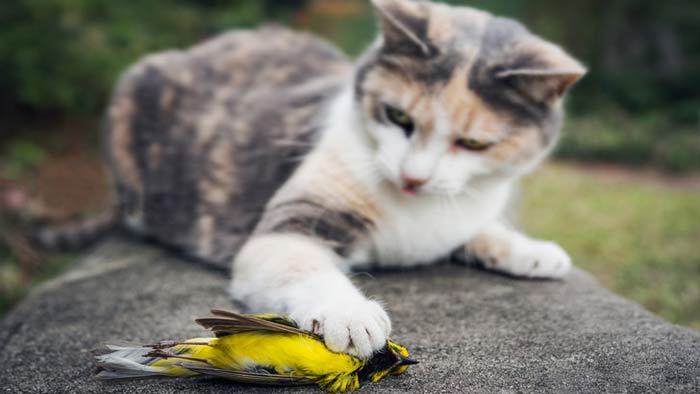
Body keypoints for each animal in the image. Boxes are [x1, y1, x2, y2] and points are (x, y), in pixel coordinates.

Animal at [38, 0, 584, 358]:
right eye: (397, 116)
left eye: (473, 144)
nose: (412, 178)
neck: (419, 213)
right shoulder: (289, 225)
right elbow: (301, 263)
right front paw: (351, 315)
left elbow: (481, 229)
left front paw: (533, 250)